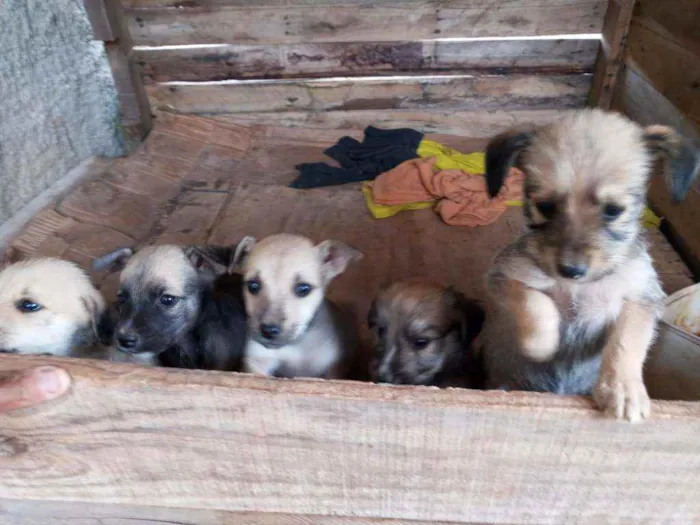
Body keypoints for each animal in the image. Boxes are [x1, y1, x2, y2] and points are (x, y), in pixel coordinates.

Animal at [232, 232, 364, 376]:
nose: (269, 331)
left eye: (303, 289)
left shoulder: (333, 370)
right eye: (253, 286)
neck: (298, 344)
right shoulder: (257, 361)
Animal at [484, 107, 696, 422]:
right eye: (545, 207)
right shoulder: (507, 275)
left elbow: (625, 344)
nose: (571, 271)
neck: (581, 288)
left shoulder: (639, 300)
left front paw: (623, 390)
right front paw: (540, 342)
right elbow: (535, 302)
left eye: (613, 211)